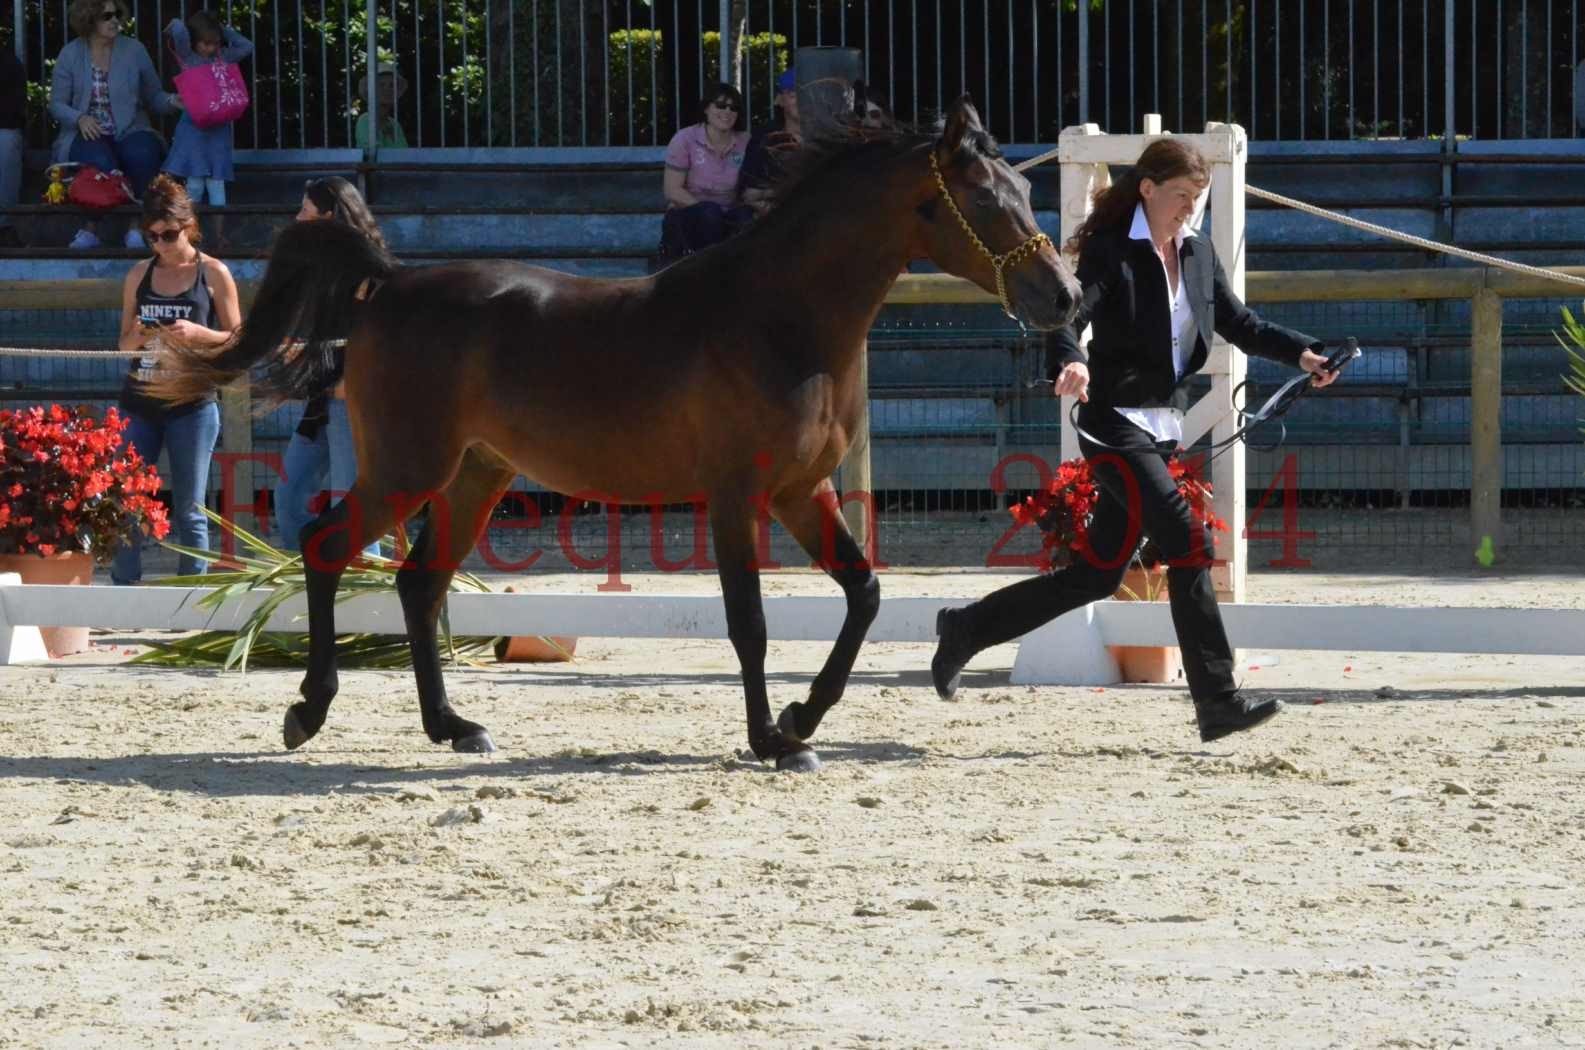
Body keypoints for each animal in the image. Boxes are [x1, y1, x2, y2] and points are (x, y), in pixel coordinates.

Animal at [151, 98, 1077, 774]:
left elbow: (865, 594)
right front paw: (772, 740)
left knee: (417, 583)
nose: (1063, 297)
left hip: (476, 475)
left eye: (1023, 189)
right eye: (985, 198)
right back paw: (307, 711)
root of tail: (390, 283)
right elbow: (749, 622)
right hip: (409, 468)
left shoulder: (797, 491)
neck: (781, 315)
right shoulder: (737, 495)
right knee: (325, 547)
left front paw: (799, 717)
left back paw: (455, 727)